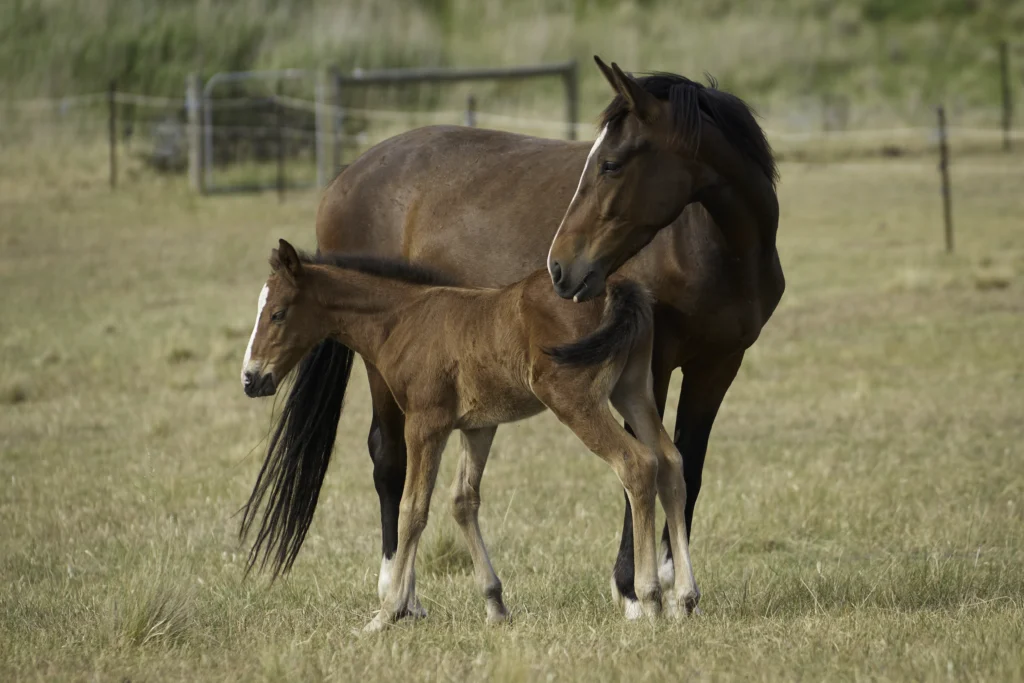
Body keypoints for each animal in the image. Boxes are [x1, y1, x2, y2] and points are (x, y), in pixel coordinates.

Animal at [241, 239, 696, 630]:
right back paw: (686, 595)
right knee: (670, 462)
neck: (403, 319)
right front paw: (495, 605)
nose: (251, 379)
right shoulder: (478, 426)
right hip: (633, 389)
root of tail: (617, 286)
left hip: (575, 398)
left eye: (278, 313)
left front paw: (387, 613)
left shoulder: (425, 422)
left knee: (637, 463)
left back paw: (649, 596)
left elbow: (412, 509)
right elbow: (462, 500)